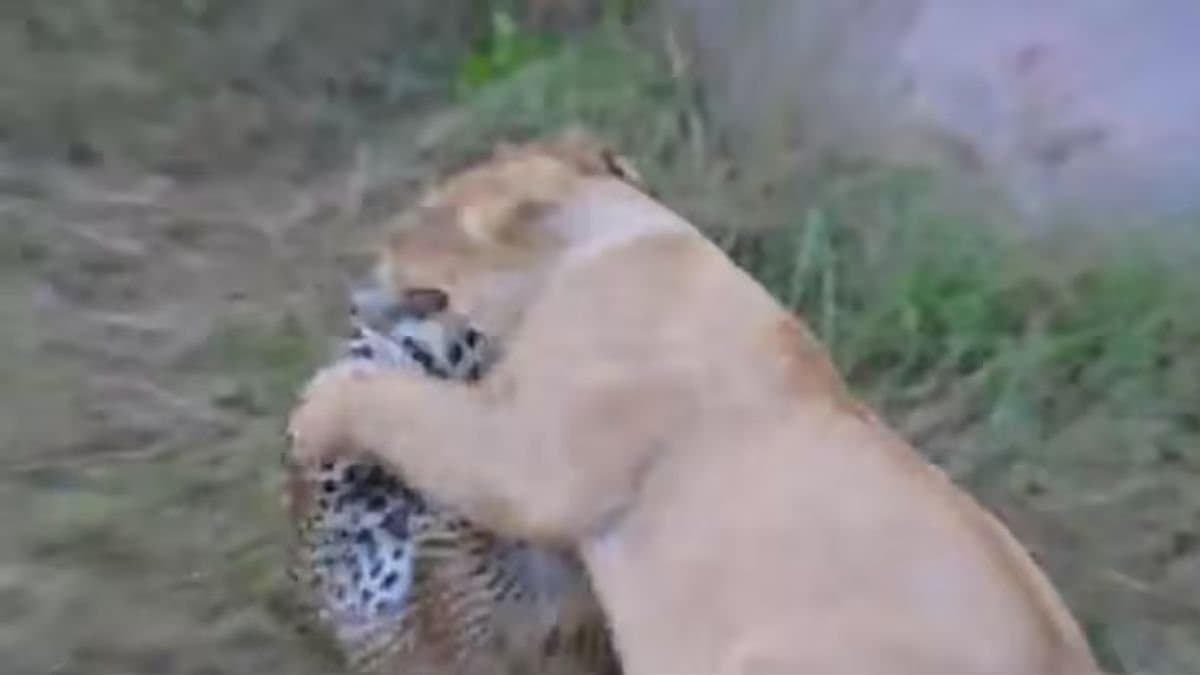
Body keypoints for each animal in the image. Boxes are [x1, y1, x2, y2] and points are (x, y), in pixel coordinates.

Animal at [287, 131, 1101, 674]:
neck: (608, 240)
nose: (355, 286)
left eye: (413, 226)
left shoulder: (533, 459)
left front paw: (316, 411)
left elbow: (408, 407)